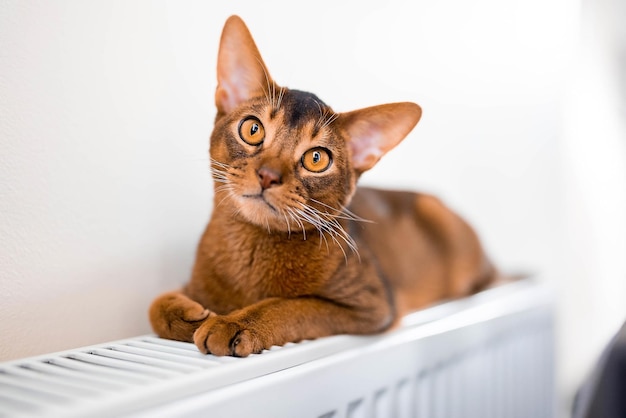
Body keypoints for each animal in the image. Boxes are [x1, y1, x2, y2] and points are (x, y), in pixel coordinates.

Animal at [149, 15, 494, 356]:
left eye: (316, 158)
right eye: (252, 129)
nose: (268, 175)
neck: (249, 250)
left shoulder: (372, 306)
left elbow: (289, 306)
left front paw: (231, 323)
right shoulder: (192, 286)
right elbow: (155, 306)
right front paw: (192, 315)